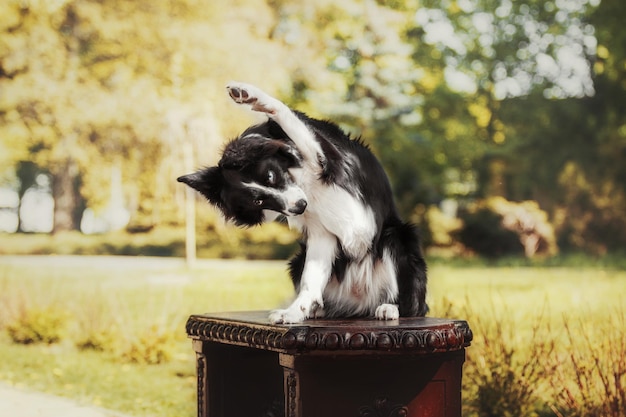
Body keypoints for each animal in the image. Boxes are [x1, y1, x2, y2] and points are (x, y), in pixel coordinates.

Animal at [178, 80, 426, 322]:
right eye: (257, 202)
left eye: (270, 175)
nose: (299, 207)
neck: (301, 178)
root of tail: (361, 303)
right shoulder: (322, 233)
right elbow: (310, 281)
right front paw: (295, 312)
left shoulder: (350, 204)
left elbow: (293, 122)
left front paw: (251, 95)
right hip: (298, 259)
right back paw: (315, 310)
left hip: (397, 237)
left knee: (412, 306)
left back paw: (389, 308)